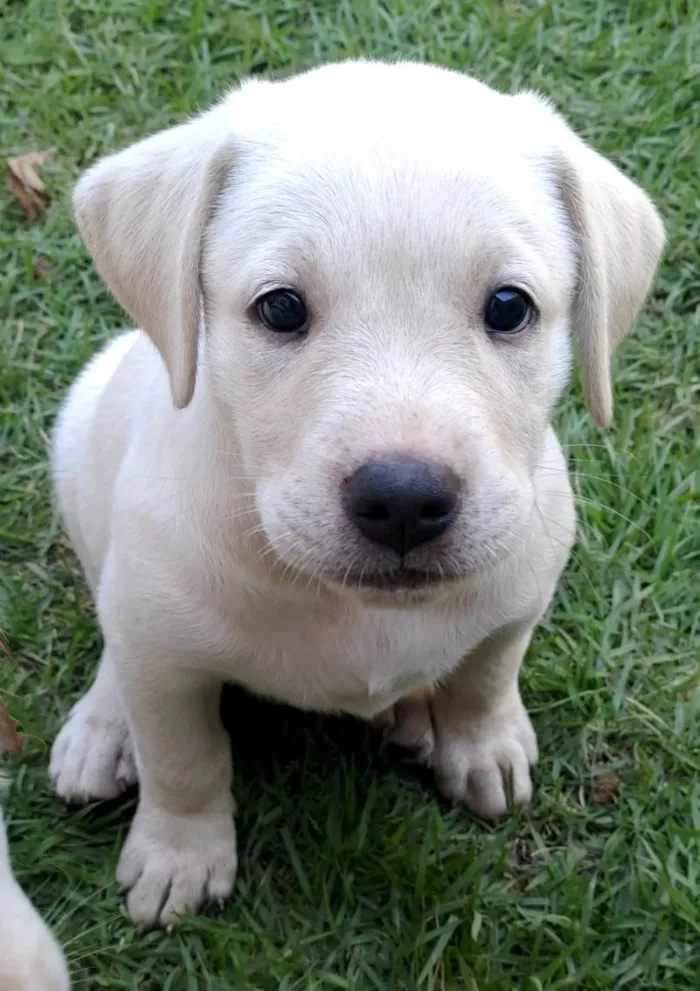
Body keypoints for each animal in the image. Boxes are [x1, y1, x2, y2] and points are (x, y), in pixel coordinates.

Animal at [49, 62, 660, 928]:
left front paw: (483, 743)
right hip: (81, 448)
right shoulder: (164, 654)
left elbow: (486, 674)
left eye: (510, 307)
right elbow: (184, 753)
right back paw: (104, 727)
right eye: (279, 306)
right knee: (115, 629)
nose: (403, 499)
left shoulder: (520, 588)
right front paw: (179, 851)